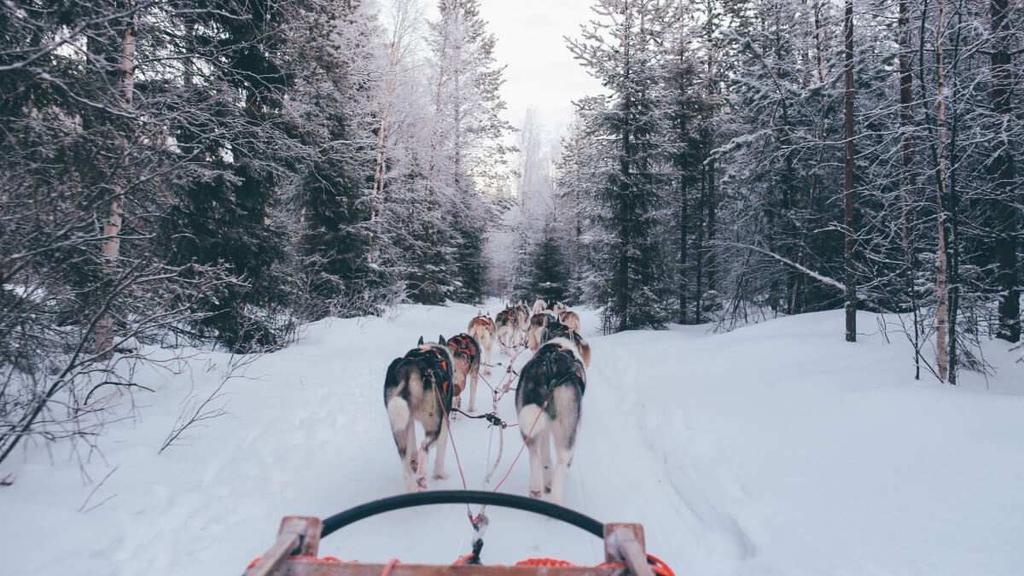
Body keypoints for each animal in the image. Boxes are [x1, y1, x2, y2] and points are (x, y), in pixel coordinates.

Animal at [385, 336, 452, 487]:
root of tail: (410, 369)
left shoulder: (409, 420)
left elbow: (412, 441)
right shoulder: (444, 420)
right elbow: (441, 450)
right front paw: (440, 474)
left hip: (398, 427)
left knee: (405, 457)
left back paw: (412, 482)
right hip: (433, 424)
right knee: (424, 447)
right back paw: (421, 476)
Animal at [516, 332, 589, 502]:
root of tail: (547, 371)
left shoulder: (543, 428)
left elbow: (545, 455)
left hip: (530, 426)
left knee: (536, 456)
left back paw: (537, 488)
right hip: (567, 429)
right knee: (562, 461)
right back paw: (556, 496)